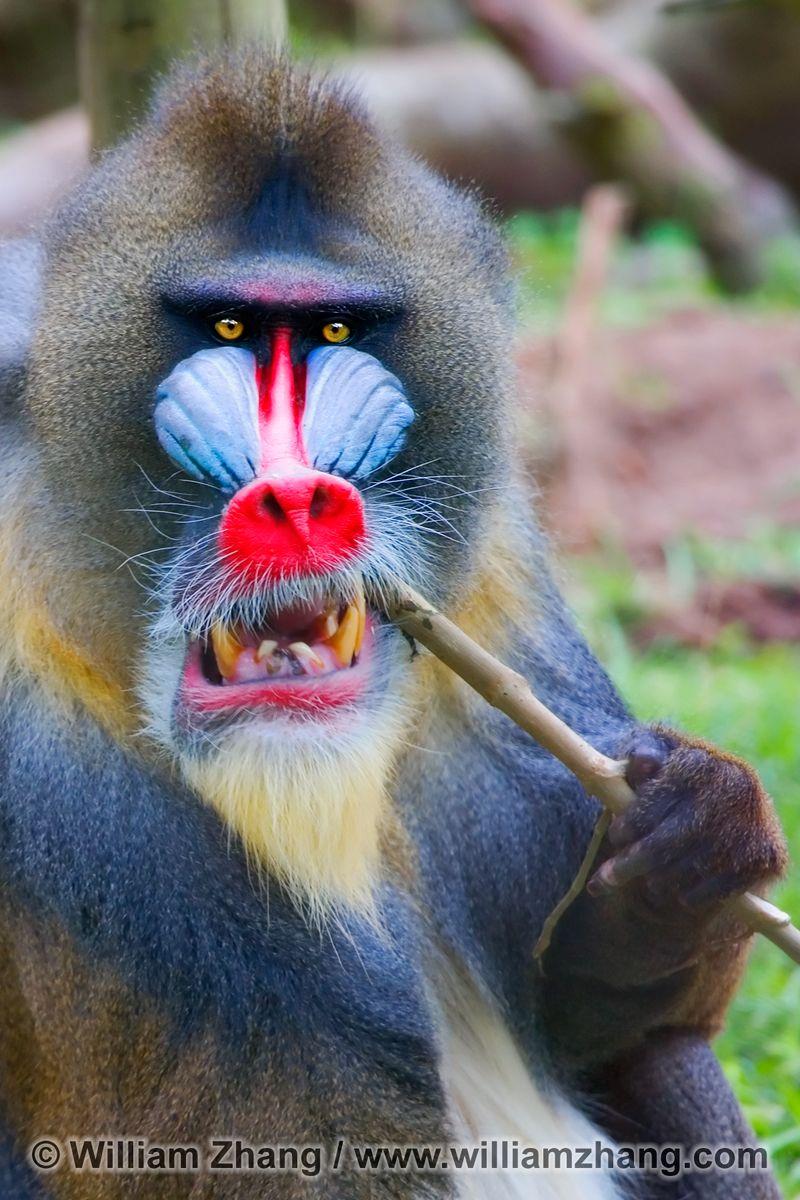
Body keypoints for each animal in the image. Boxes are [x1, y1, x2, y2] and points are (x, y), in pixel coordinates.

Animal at [0, 51, 788, 1200]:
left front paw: (689, 841)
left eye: (334, 330)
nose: (295, 500)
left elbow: (607, 1023)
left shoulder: (499, 590)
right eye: (228, 329)